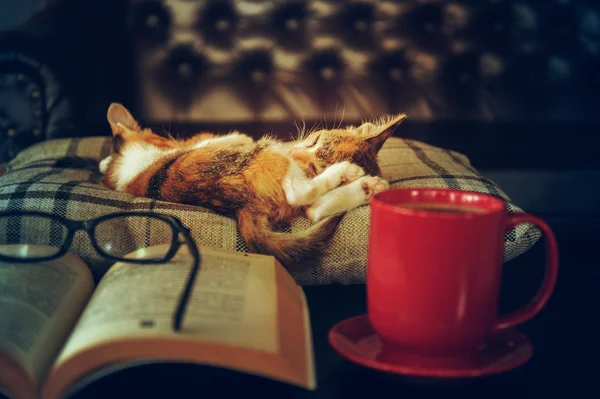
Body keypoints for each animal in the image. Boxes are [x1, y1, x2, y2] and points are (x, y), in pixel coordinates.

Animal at [99, 104, 408, 270]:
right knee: (310, 204)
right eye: (314, 139)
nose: (295, 153)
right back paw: (362, 181)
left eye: (312, 162)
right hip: (271, 150)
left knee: (311, 205)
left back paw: (361, 181)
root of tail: (242, 206)